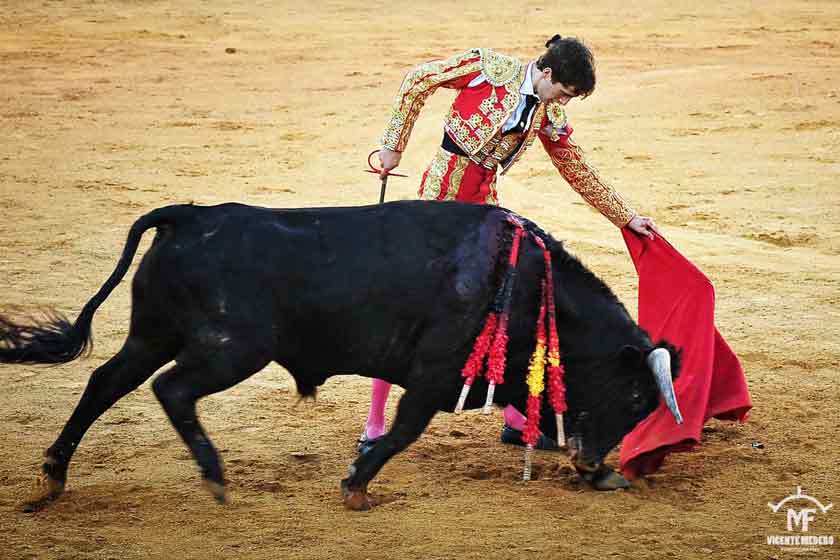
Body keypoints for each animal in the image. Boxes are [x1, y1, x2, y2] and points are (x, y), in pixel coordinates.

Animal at [0, 199, 680, 510]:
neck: (528, 283)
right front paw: (356, 486)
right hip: (233, 350)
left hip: (154, 334)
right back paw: (215, 477)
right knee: (169, 389)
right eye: (635, 396)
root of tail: (189, 215)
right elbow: (403, 431)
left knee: (105, 381)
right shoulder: (433, 375)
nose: (596, 465)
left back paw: (53, 476)